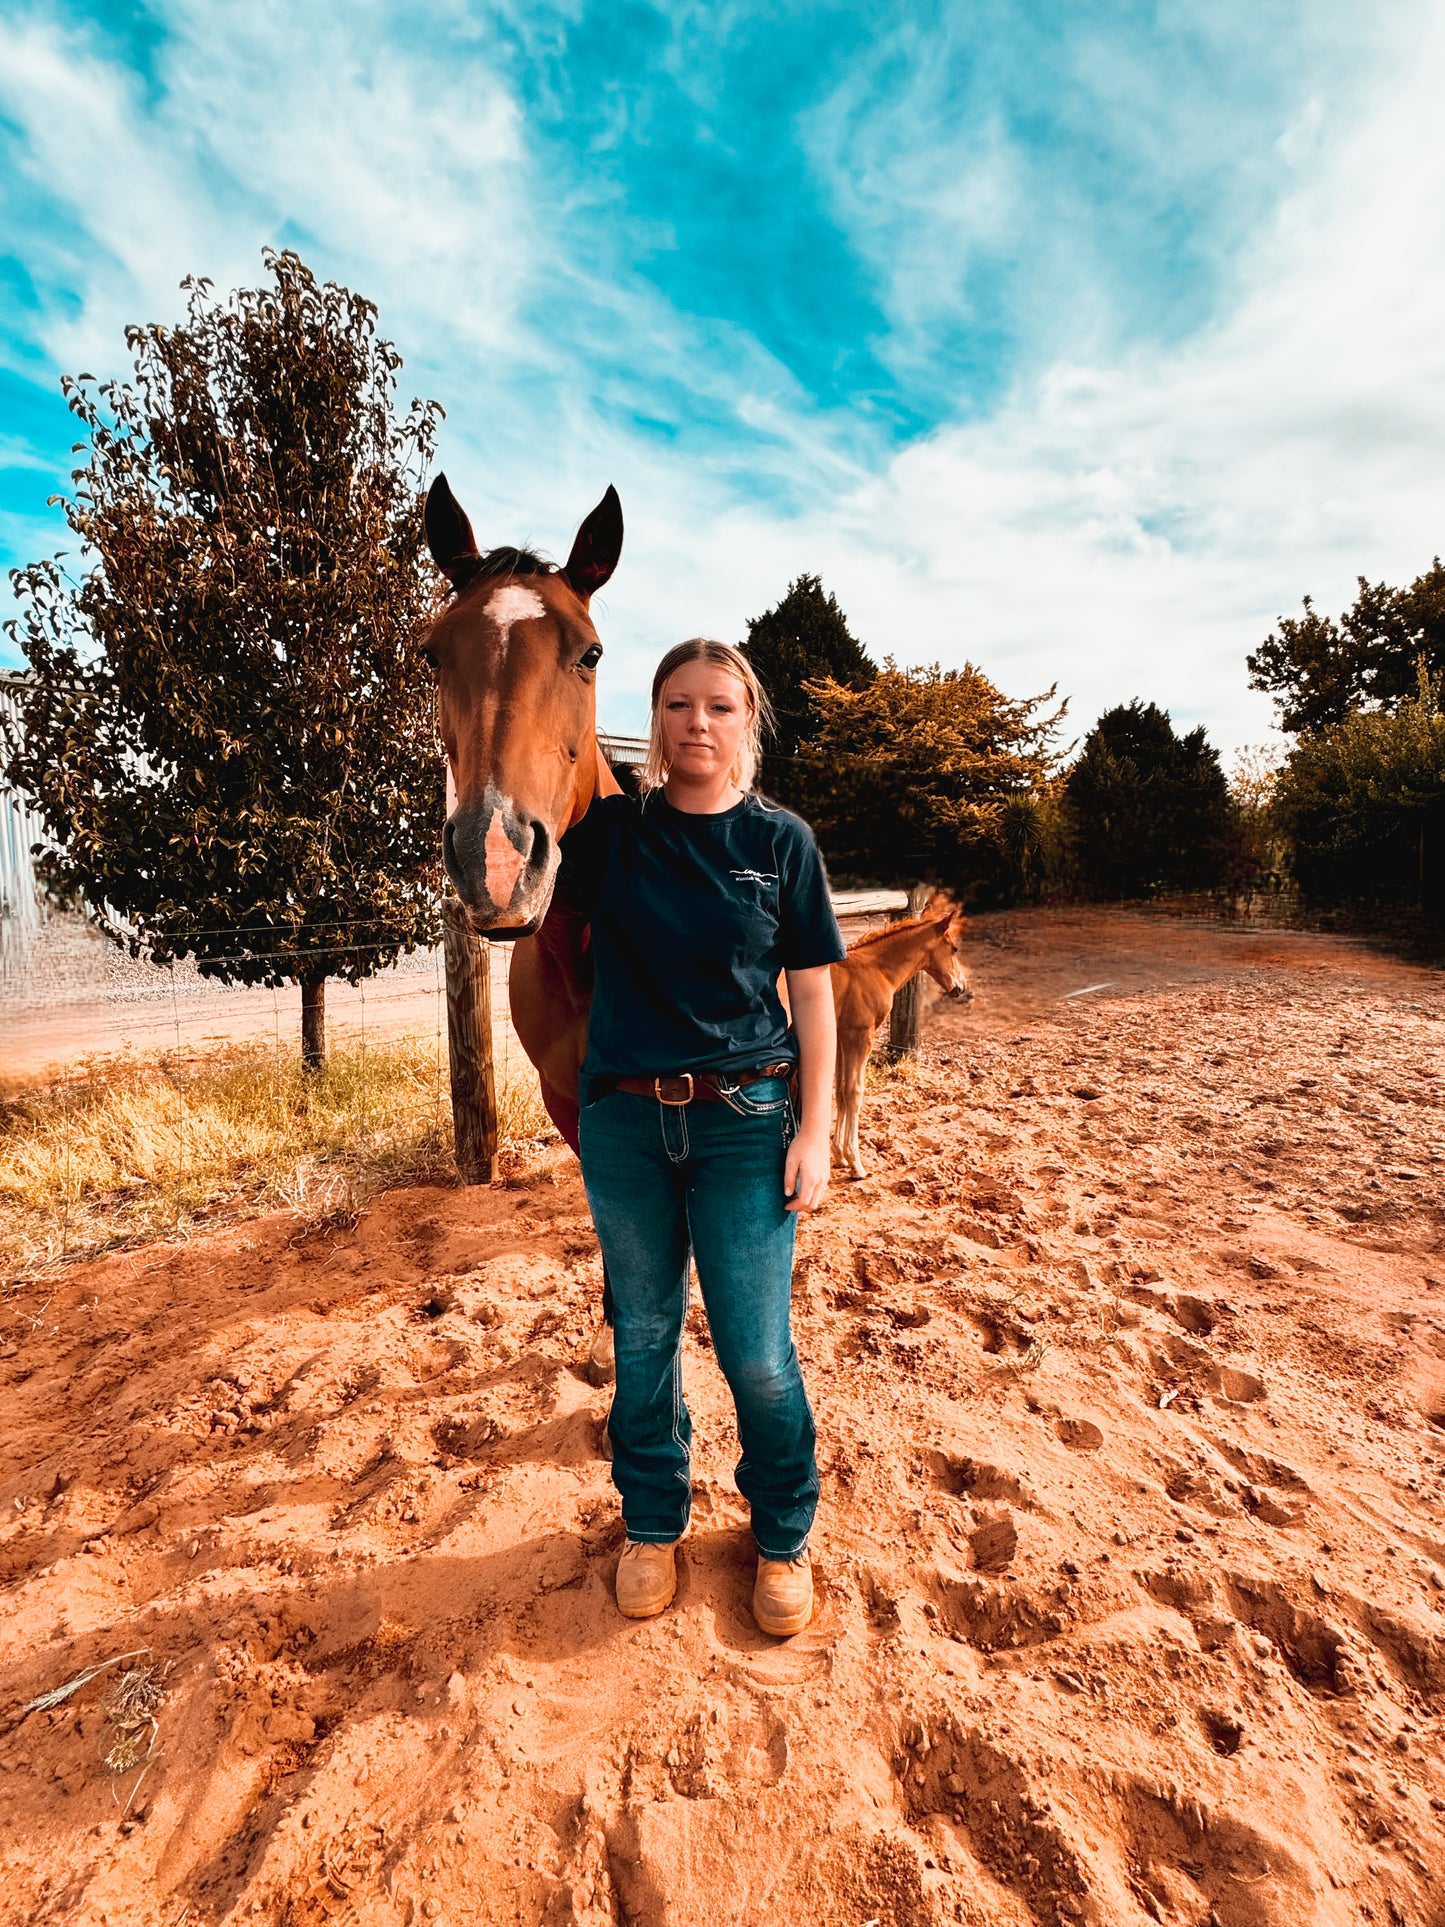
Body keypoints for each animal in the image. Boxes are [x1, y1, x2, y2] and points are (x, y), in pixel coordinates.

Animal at [832, 909, 967, 1179]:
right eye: (954, 948)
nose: (960, 987)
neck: (874, 969)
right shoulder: (860, 1036)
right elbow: (854, 1092)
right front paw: (855, 1163)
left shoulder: (842, 1035)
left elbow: (840, 1092)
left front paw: (839, 1156)